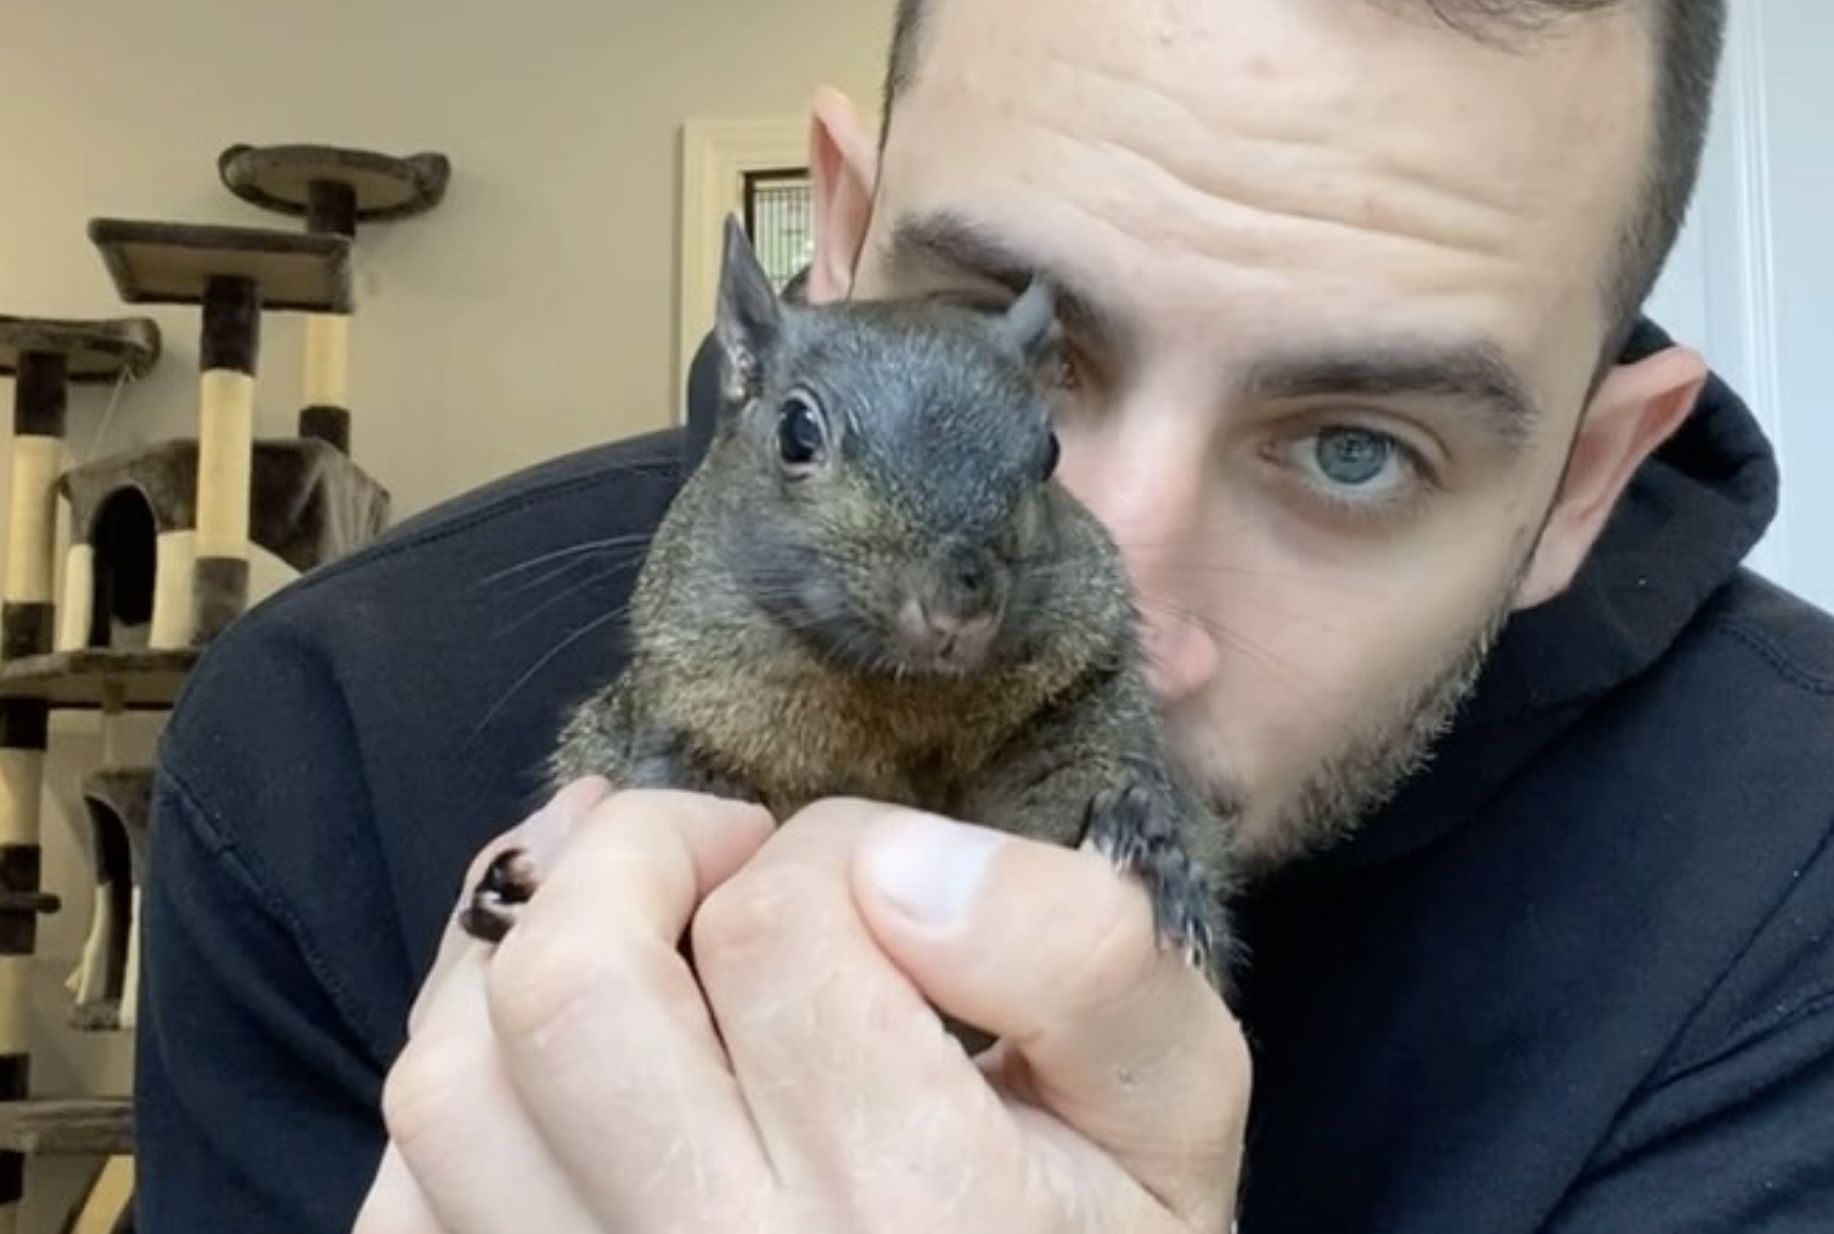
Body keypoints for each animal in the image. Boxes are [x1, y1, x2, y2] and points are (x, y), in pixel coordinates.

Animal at [458, 216, 1239, 990]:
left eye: (1049, 451)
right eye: (797, 430)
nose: (960, 605)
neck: (897, 694)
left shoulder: (1081, 692)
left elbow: (1087, 779)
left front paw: (1146, 841)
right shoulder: (687, 730)